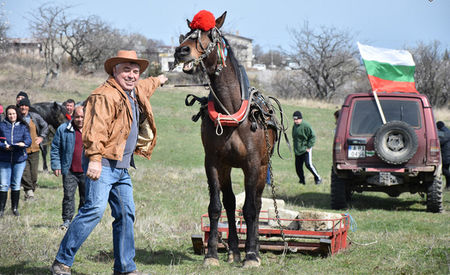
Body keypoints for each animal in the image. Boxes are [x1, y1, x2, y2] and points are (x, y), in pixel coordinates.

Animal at [175, 11, 284, 268]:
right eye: (188, 33)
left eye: (209, 33)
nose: (181, 51)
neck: (231, 110)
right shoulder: (214, 163)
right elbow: (216, 207)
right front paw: (212, 254)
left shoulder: (252, 165)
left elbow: (251, 209)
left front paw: (251, 255)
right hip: (227, 168)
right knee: (231, 202)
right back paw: (234, 250)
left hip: (262, 168)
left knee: (257, 202)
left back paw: (253, 250)